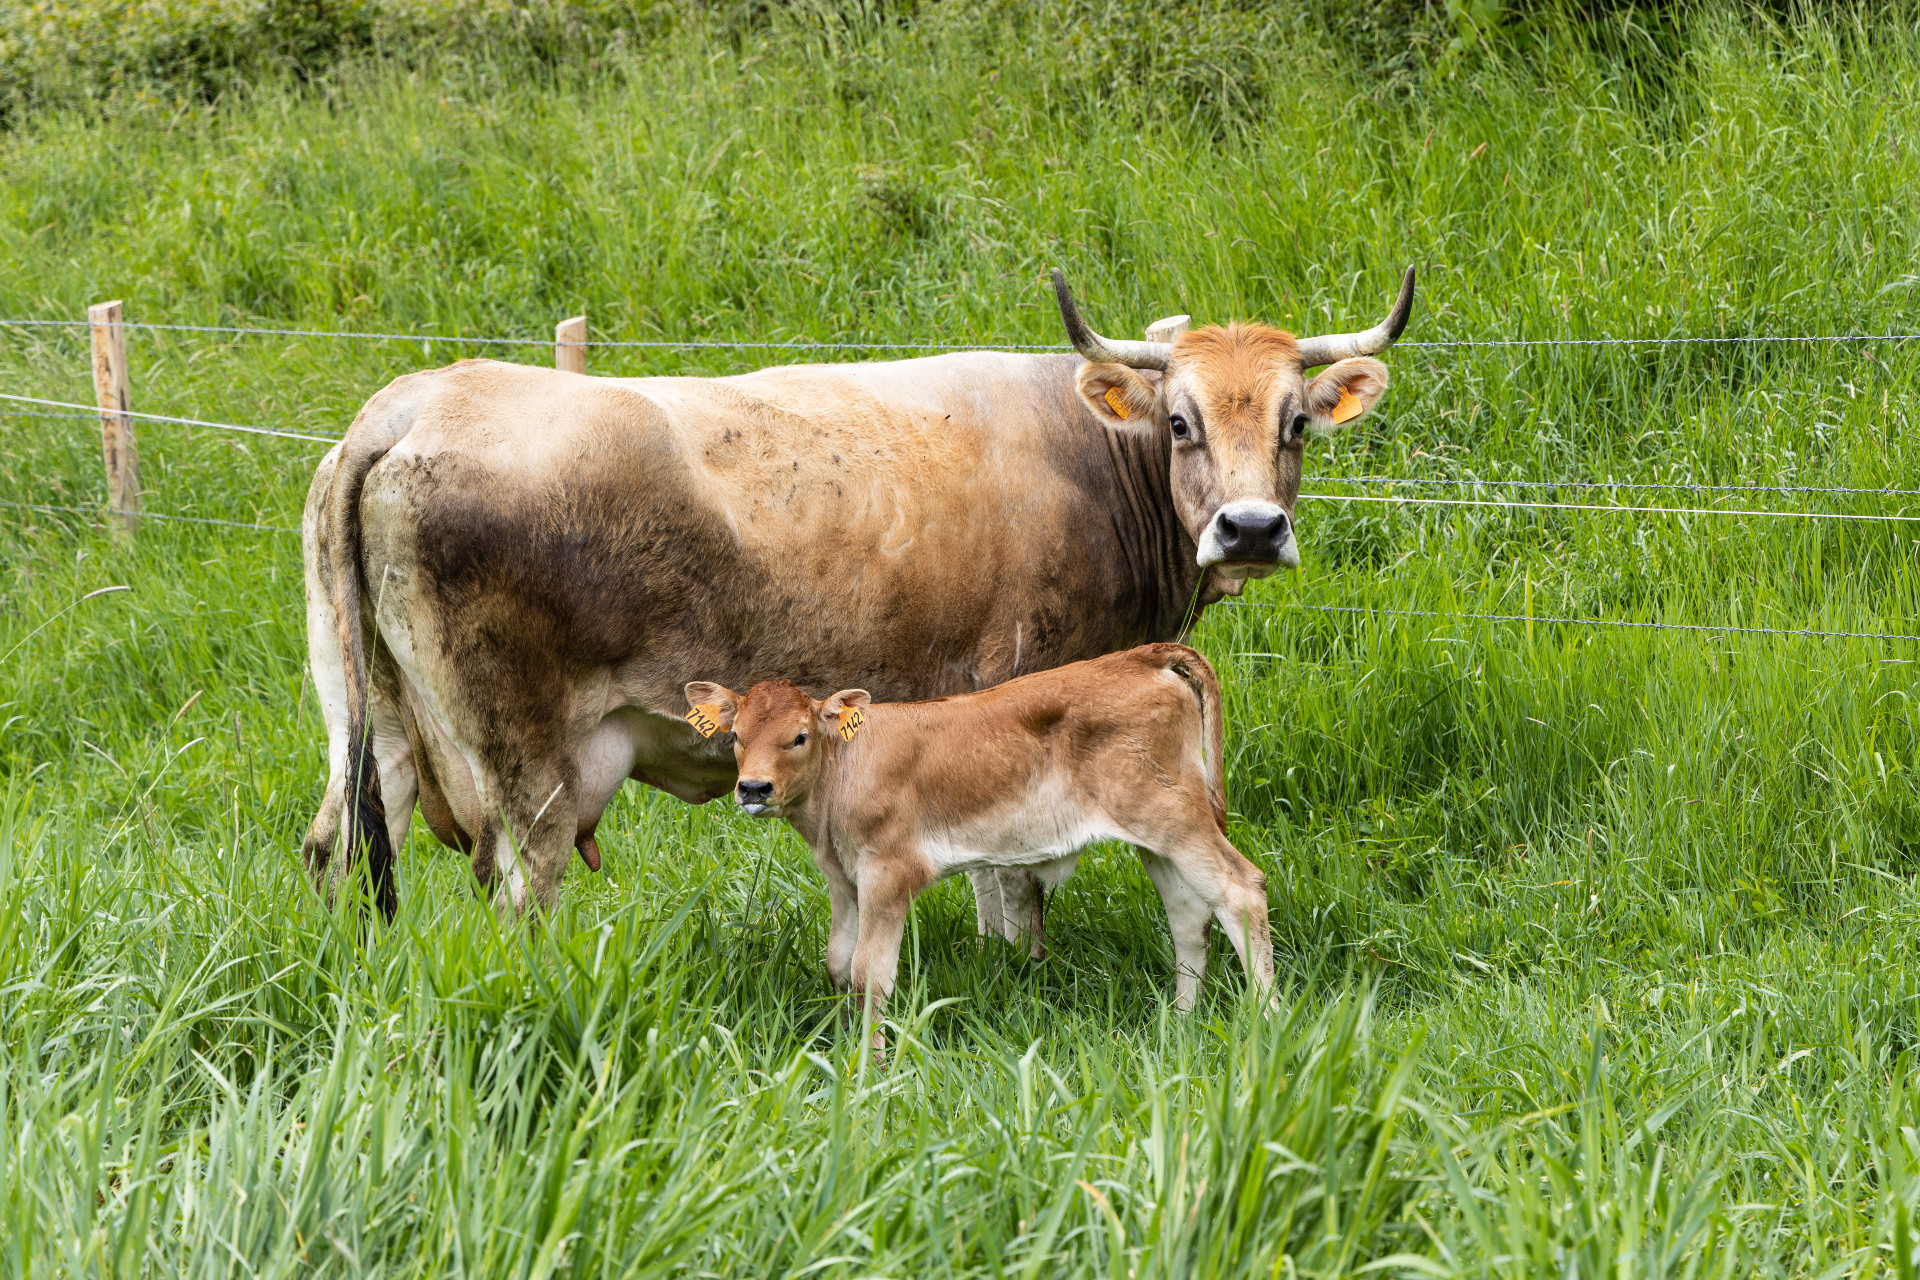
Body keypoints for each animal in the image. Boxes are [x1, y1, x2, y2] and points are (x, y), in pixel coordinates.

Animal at [299, 268, 1413, 921]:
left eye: (1297, 423)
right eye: (1180, 421)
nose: (1252, 528)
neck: (1089, 454)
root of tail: (419, 397)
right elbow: (1014, 880)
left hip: (373, 720)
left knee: (338, 845)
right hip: (526, 760)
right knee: (520, 881)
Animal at [687, 644, 1274, 1036]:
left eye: (799, 736)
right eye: (736, 735)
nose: (753, 788)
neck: (842, 773)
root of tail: (1143, 656)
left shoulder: (888, 874)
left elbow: (870, 975)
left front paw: (868, 1075)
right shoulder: (842, 878)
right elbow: (838, 962)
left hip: (1175, 819)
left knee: (1240, 891)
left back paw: (1266, 1022)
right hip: (1157, 837)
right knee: (1189, 915)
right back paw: (1182, 1021)